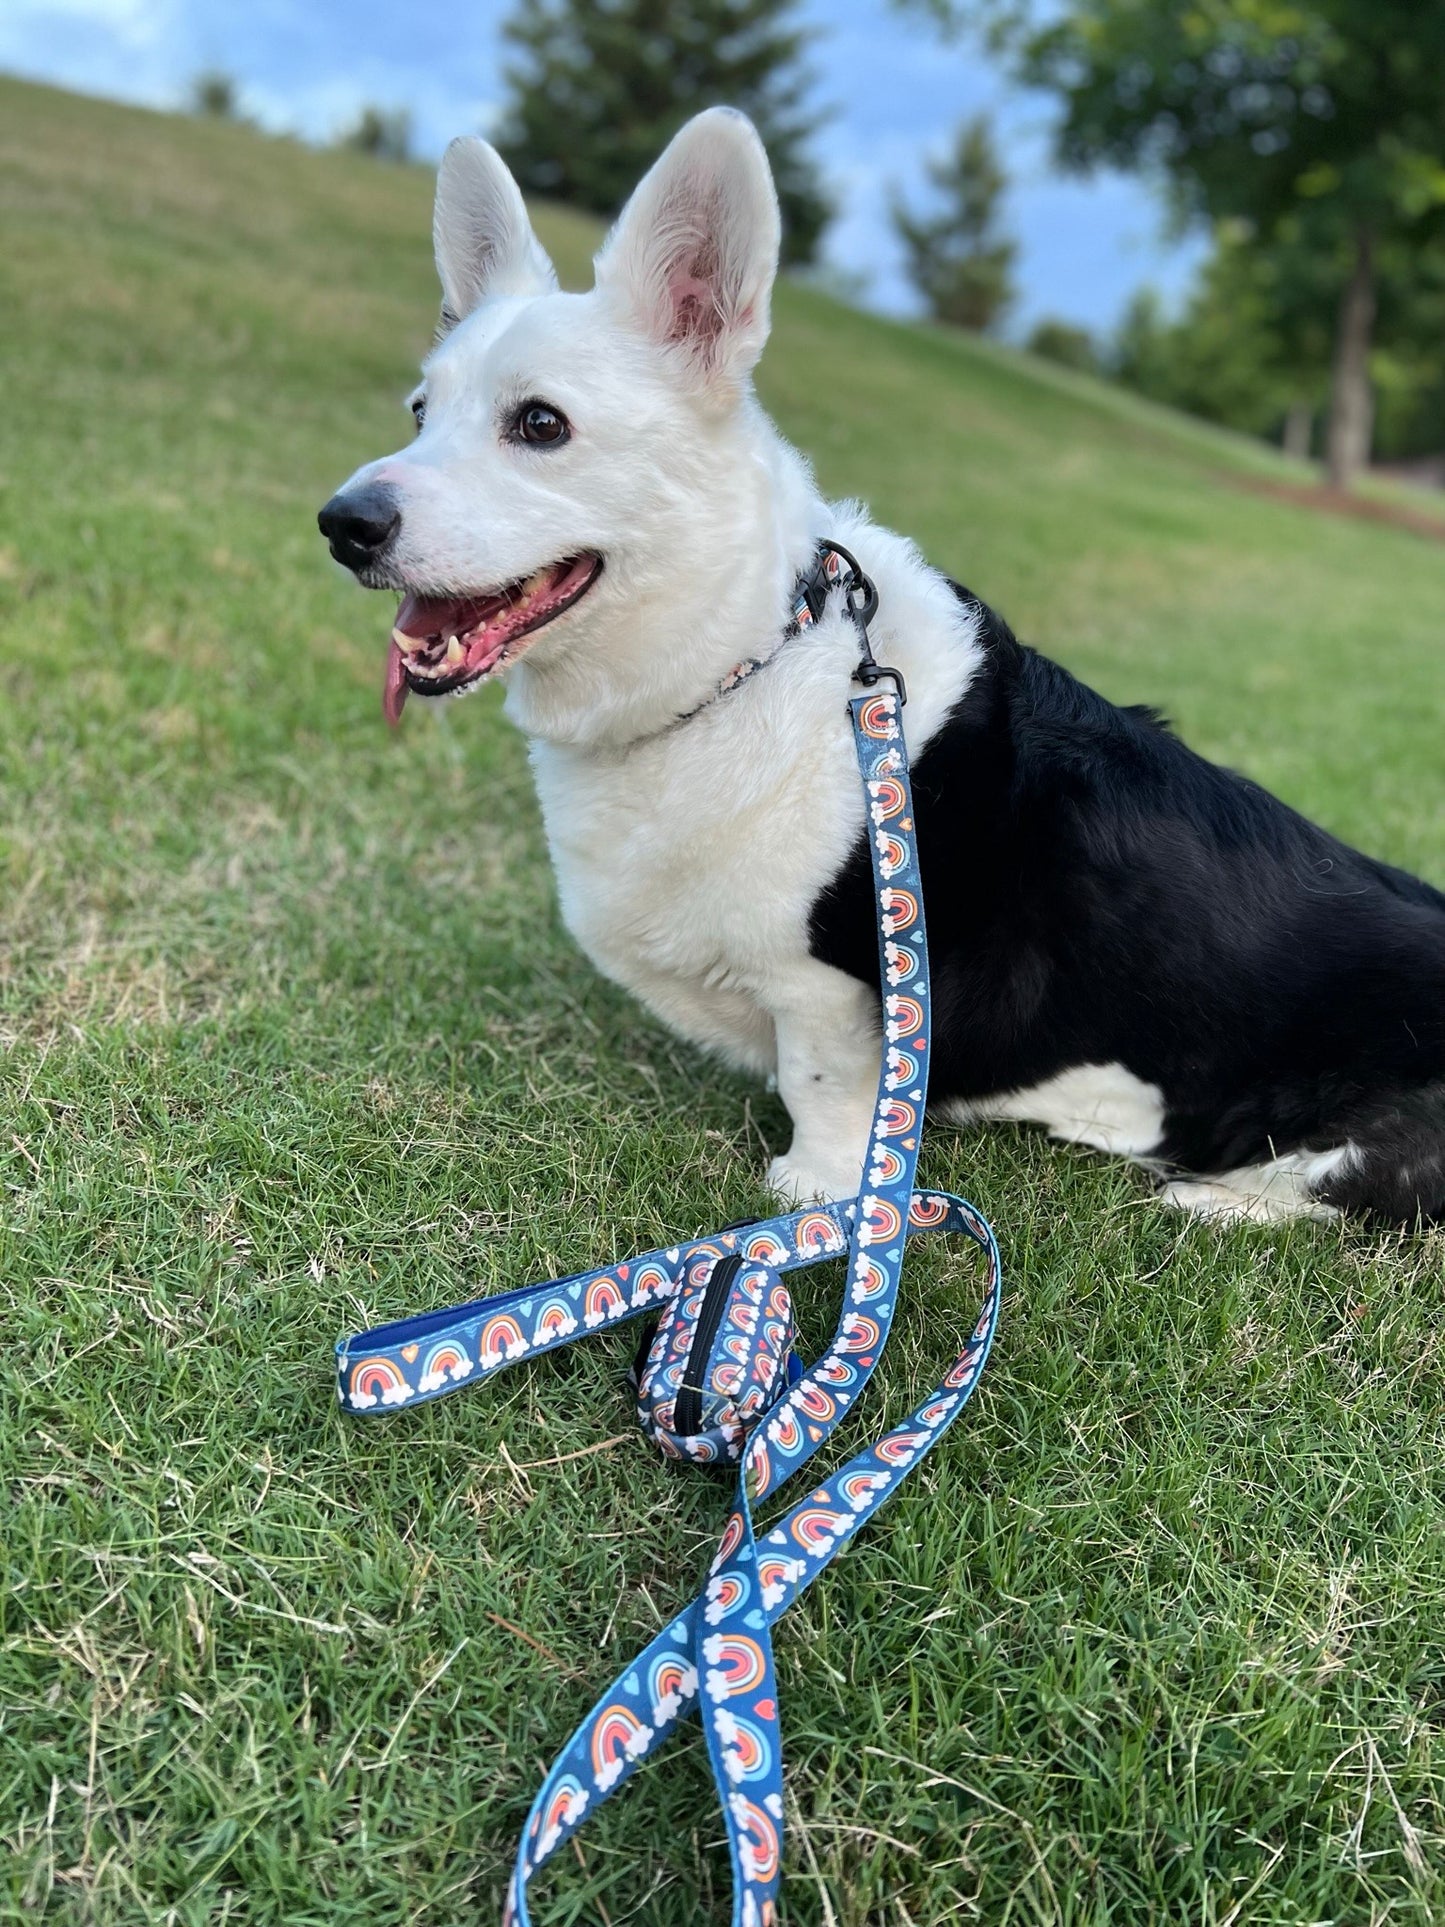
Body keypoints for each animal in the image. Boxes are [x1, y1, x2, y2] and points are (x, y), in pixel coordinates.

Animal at [319, 109, 1445, 1217]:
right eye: (419, 412)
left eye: (540, 424)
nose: (342, 524)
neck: (742, 657)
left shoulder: (829, 987)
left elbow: (827, 1088)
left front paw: (818, 1197)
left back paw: (1208, 1194)